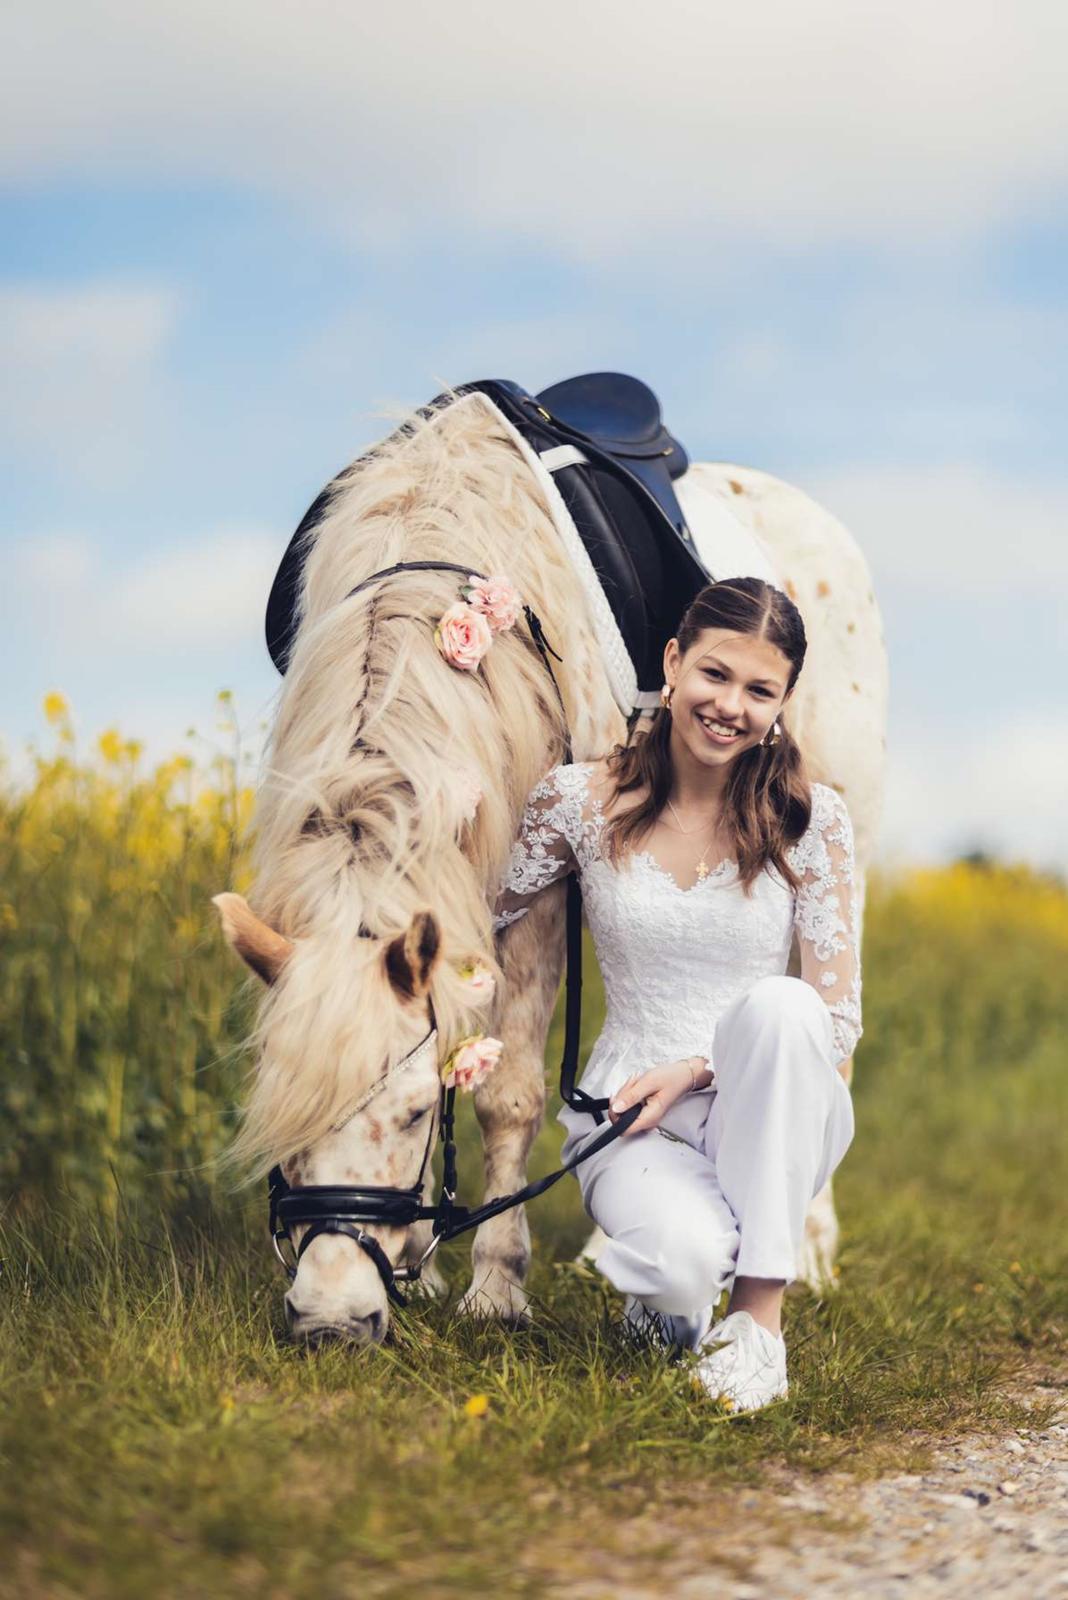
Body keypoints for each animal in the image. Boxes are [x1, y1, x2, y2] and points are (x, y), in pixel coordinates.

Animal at [211, 384, 882, 1337]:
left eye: (410, 1113)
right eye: (281, 1109)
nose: (331, 1319)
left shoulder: (538, 889)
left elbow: (509, 1094)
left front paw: (495, 1286)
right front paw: (426, 1265)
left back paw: (811, 1249)